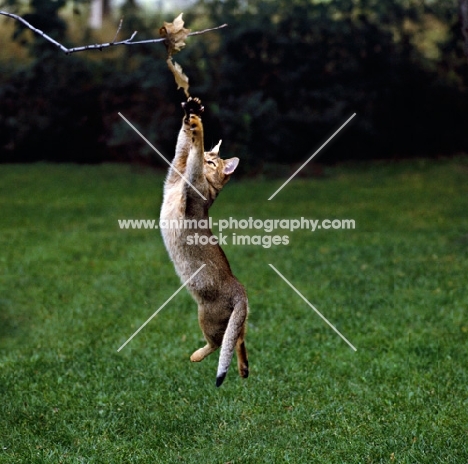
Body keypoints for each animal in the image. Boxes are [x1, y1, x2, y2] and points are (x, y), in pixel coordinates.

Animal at [160, 96, 249, 386]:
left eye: (213, 163)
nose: (211, 157)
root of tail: (241, 291)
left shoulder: (191, 182)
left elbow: (193, 156)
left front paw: (197, 128)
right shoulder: (176, 168)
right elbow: (184, 147)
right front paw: (192, 113)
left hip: (206, 317)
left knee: (220, 343)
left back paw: (198, 355)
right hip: (230, 322)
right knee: (238, 337)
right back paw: (244, 369)